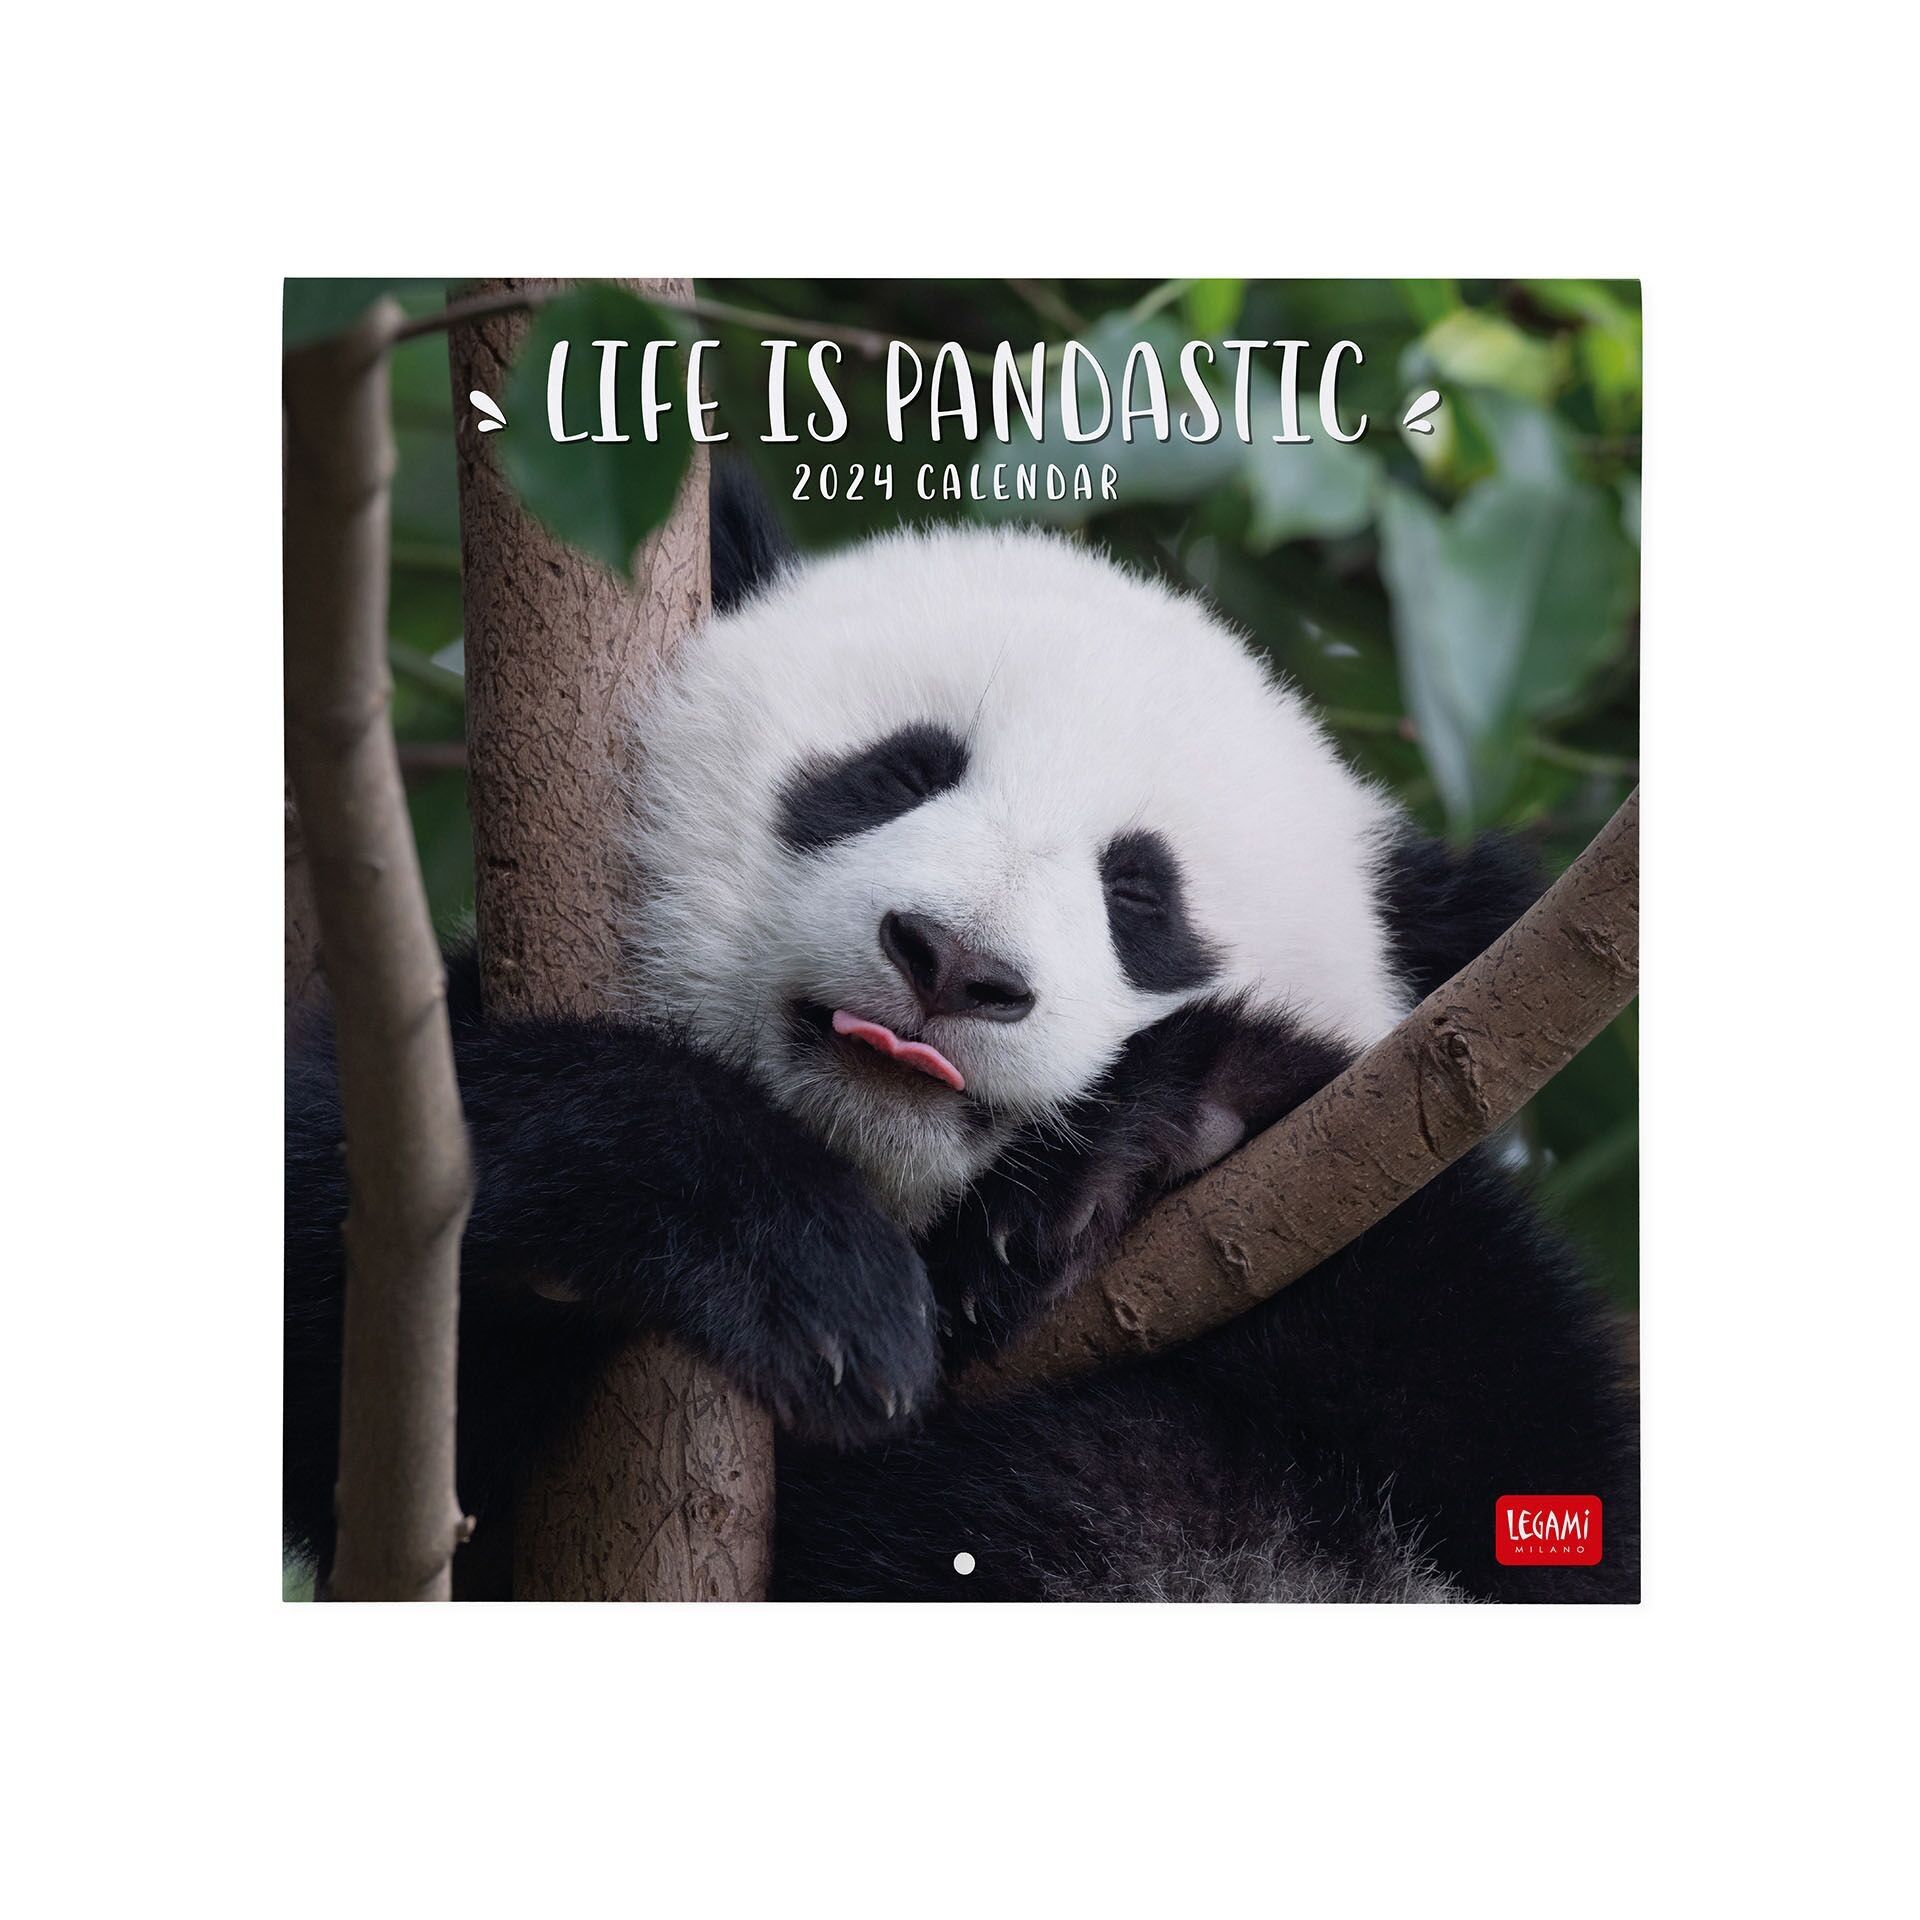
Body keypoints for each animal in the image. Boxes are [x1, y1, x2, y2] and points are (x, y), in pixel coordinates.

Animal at [284, 469, 1638, 1603]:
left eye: (1142, 900)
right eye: (897, 774)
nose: (952, 963)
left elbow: (1503, 1417)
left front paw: (1135, 1152)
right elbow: (342, 1253)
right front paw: (812, 1271)